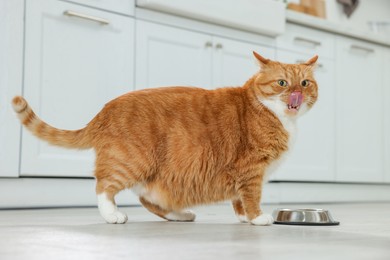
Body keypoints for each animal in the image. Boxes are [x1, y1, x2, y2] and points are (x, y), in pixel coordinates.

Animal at [12, 51, 316, 224]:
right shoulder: (251, 170)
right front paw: (257, 218)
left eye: (305, 83)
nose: (296, 95)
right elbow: (251, 197)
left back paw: (179, 214)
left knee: (149, 199)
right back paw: (112, 215)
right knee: (103, 186)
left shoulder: (244, 175)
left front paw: (243, 218)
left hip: (153, 174)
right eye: (282, 83)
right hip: (131, 162)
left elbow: (238, 200)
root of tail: (105, 109)